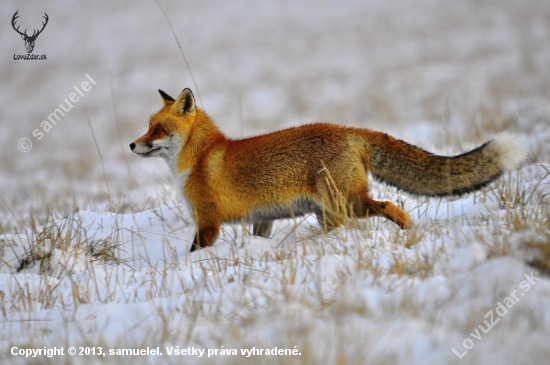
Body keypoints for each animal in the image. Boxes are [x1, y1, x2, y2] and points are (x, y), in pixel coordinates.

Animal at [130, 88, 532, 250]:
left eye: (157, 130)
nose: (132, 145)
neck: (200, 158)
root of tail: (347, 130)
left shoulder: (208, 222)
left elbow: (192, 254)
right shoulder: (263, 220)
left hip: (347, 203)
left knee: (389, 206)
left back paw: (408, 233)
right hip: (328, 212)